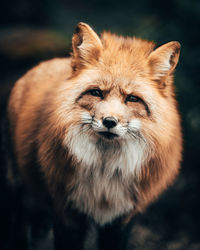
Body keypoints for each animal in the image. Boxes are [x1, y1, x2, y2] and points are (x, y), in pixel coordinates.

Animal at [8, 22, 183, 249]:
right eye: (97, 93)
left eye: (132, 98)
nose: (109, 121)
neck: (104, 175)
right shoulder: (67, 213)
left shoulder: (121, 219)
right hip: (19, 188)